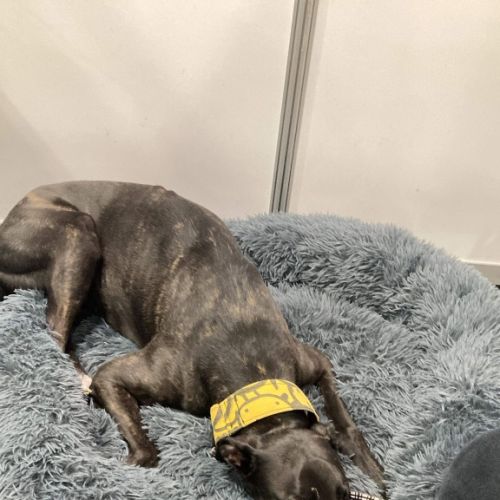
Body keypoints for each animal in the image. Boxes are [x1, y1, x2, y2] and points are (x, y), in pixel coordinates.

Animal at [0, 181, 385, 499]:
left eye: (346, 494)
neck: (252, 362)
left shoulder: (313, 362)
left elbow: (346, 423)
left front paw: (374, 471)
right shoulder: (115, 376)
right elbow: (145, 452)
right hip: (77, 236)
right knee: (55, 332)